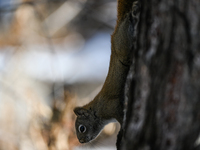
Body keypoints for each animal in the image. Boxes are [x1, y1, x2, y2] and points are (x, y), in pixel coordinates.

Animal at [72, 0, 140, 144]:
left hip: (123, 44)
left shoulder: (113, 107)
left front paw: (122, 132)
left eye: (81, 128)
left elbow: (121, 119)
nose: (81, 141)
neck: (97, 111)